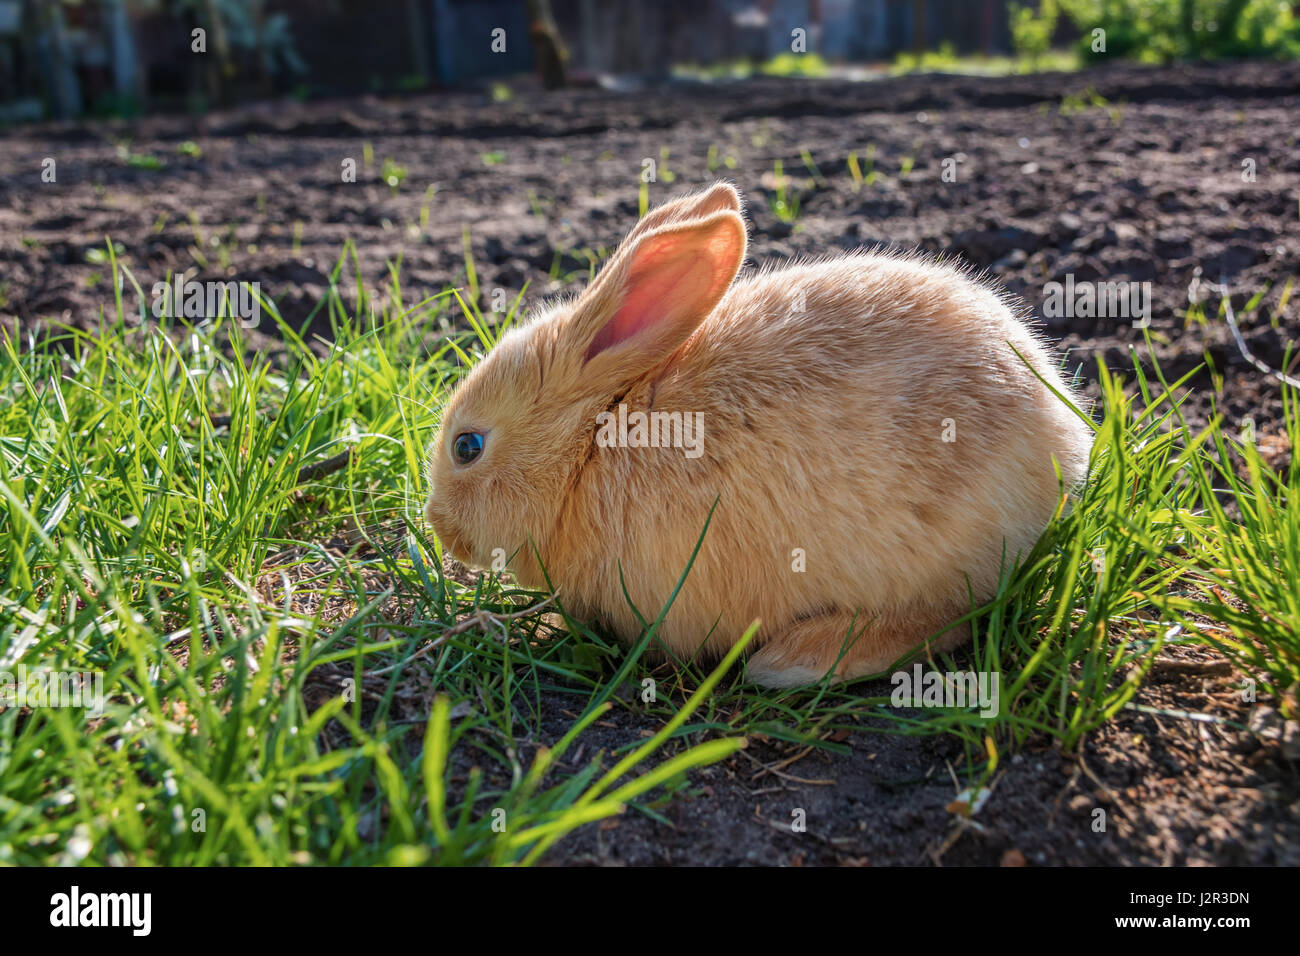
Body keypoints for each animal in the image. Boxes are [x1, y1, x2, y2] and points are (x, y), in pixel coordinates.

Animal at [426, 180, 1097, 686]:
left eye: (467, 447)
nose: (440, 528)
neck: (591, 443)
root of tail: (1062, 439)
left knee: (952, 619)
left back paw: (797, 661)